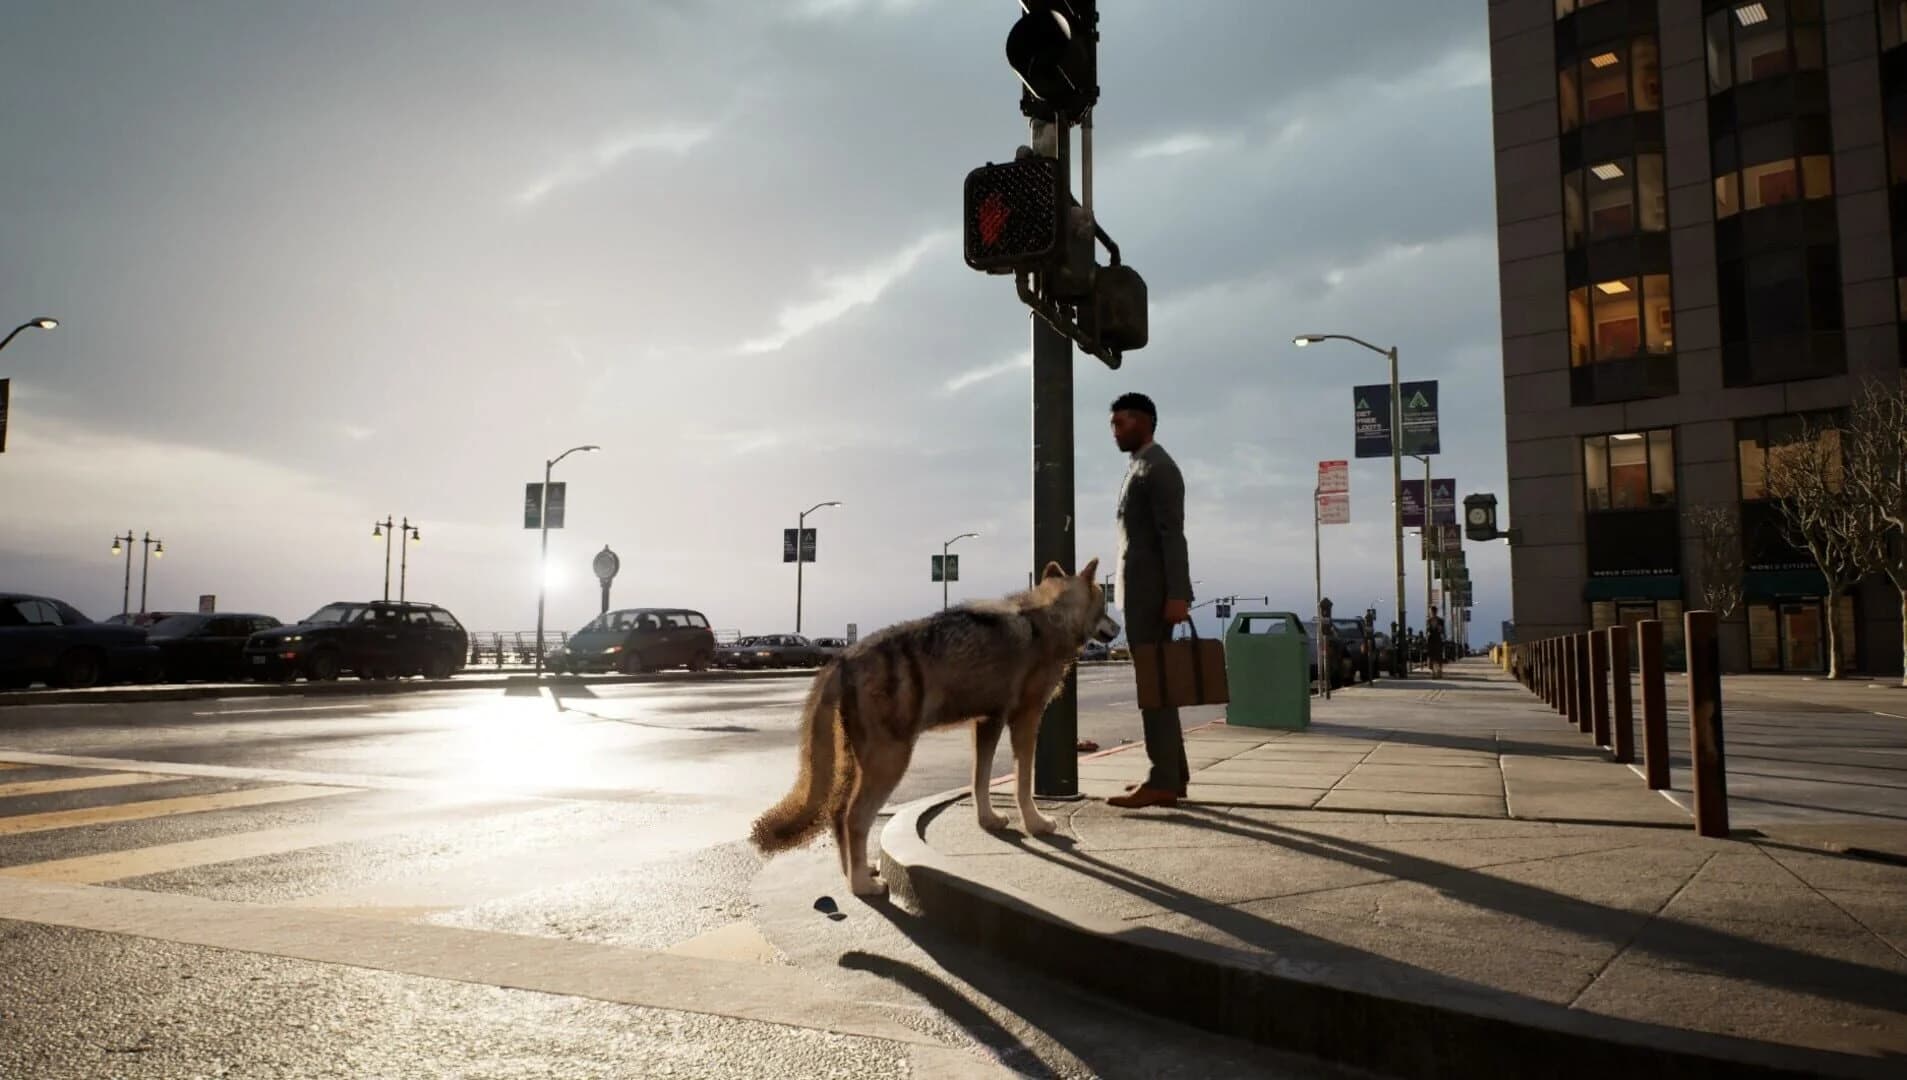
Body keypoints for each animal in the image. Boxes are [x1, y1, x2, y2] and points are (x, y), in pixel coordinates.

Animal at [750, 558, 1121, 895]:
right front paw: (1036, 824)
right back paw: (862, 886)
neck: (1048, 618)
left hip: (859, 762)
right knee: (854, 818)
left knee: (838, 815)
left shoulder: (988, 722)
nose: (1118, 628)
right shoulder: (1025, 719)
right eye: (1105, 605)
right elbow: (1023, 783)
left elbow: (980, 779)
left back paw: (857, 873)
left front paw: (988, 821)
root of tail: (842, 660)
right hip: (890, 761)